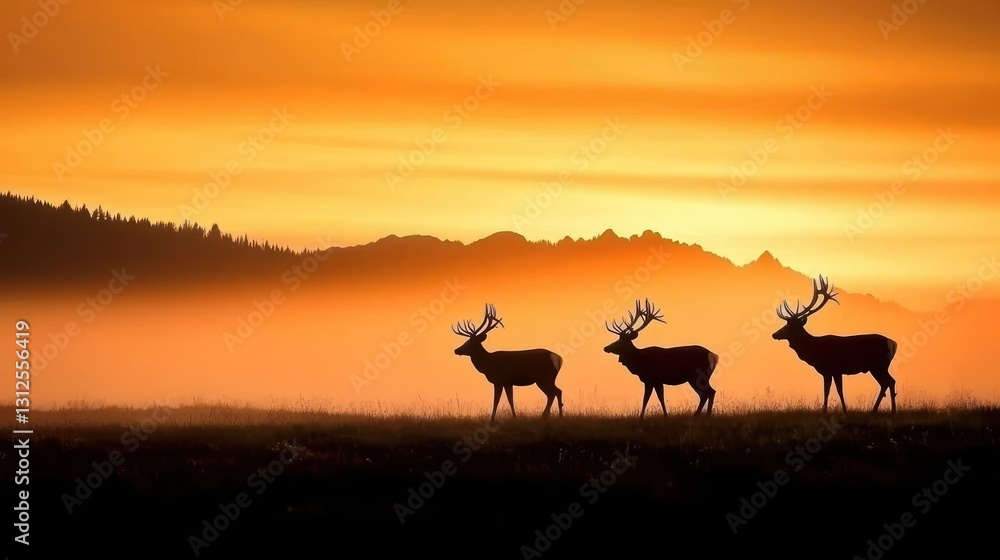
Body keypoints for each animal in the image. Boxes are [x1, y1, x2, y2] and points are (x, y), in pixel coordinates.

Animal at [772, 275, 898, 414]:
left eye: (787, 327)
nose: (774, 334)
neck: (814, 349)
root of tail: (894, 343)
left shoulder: (833, 369)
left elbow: (834, 391)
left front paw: (832, 411)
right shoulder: (831, 371)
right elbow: (831, 390)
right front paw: (838, 410)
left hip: (879, 365)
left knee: (889, 381)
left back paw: (888, 410)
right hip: (877, 367)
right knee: (887, 382)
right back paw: (879, 410)